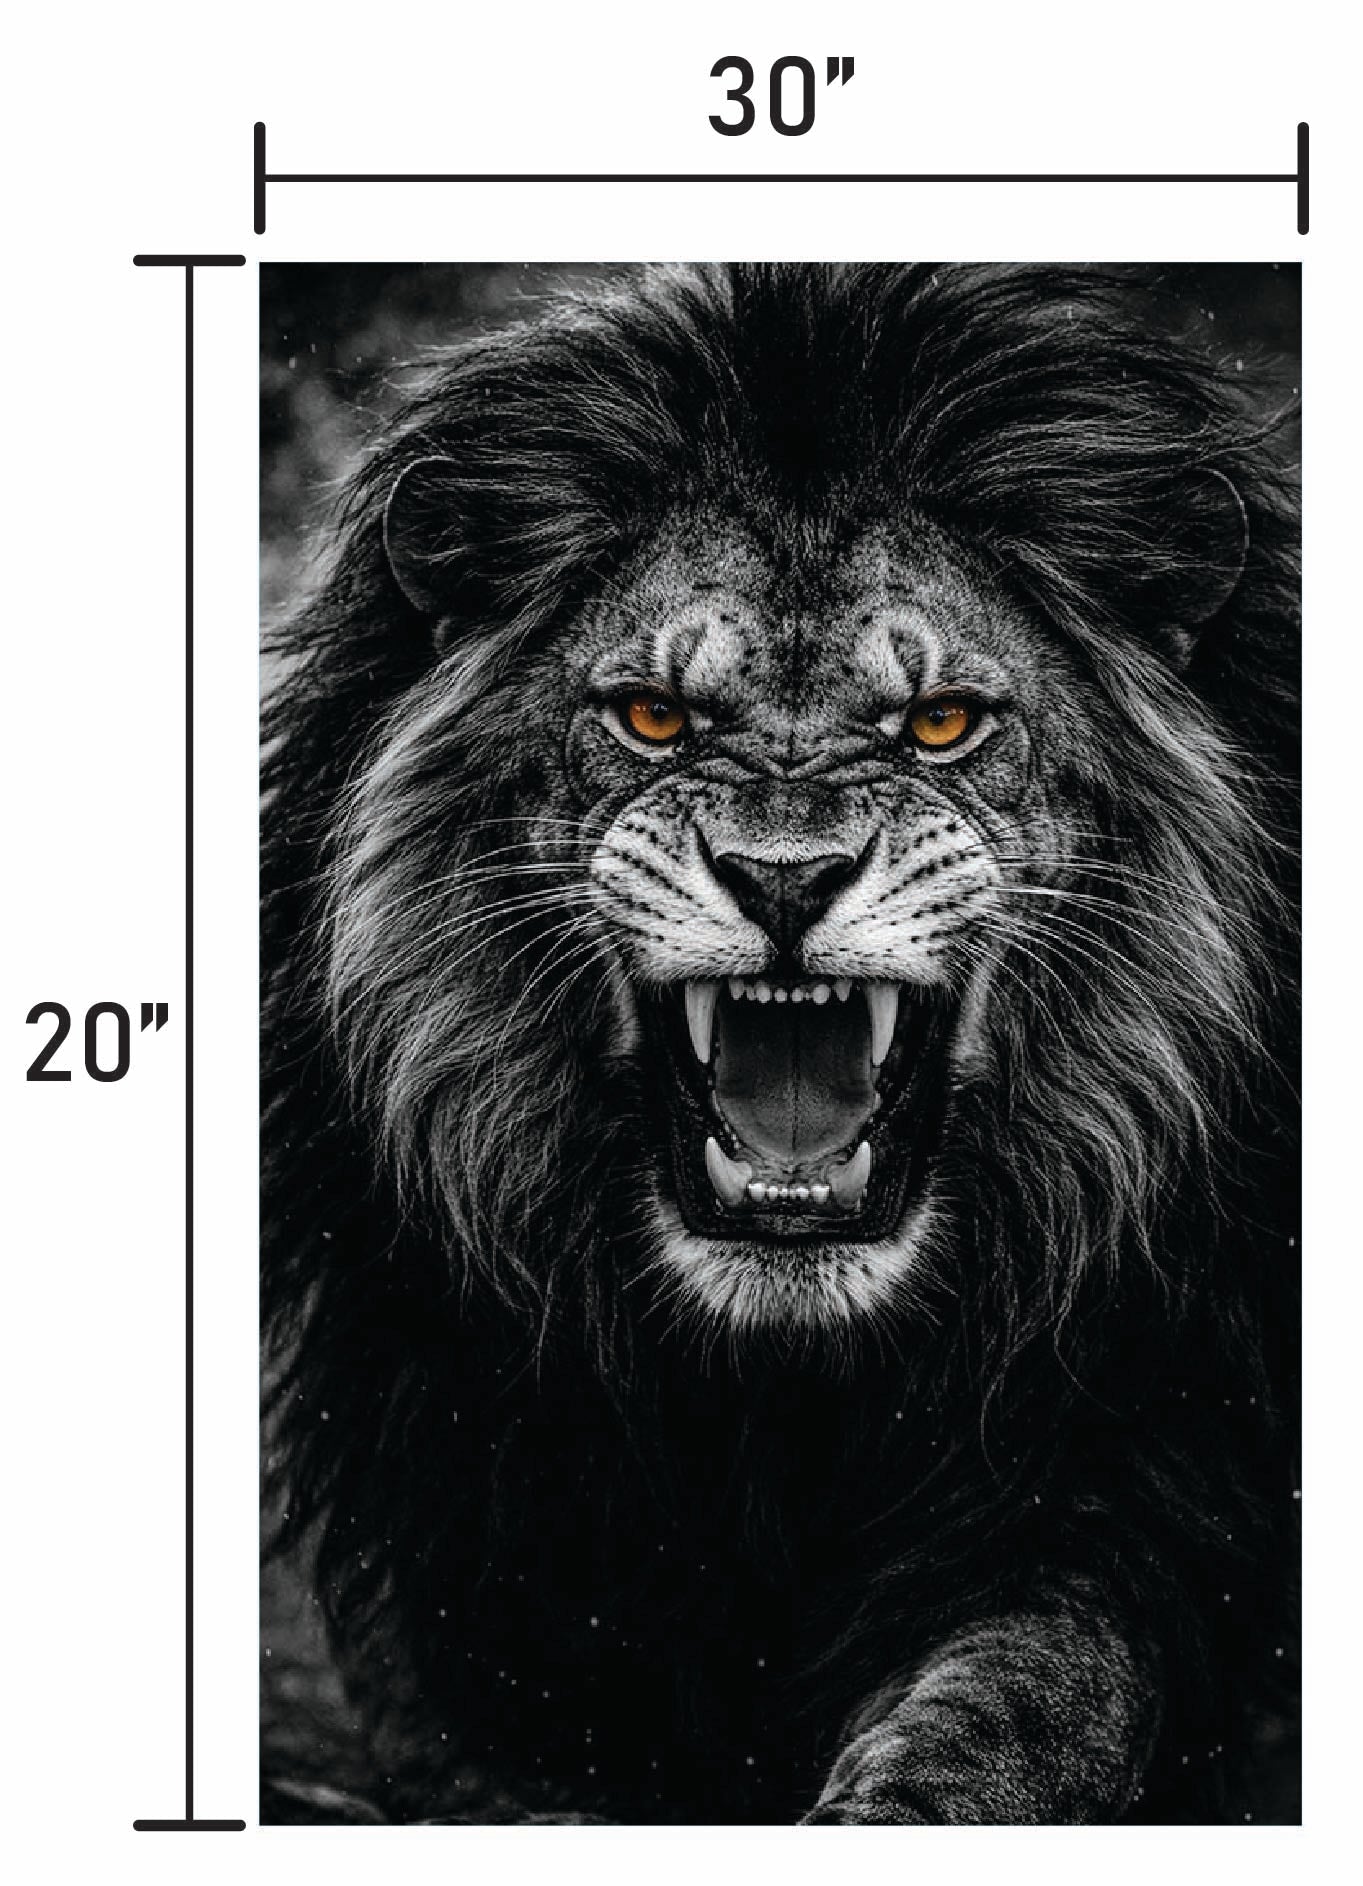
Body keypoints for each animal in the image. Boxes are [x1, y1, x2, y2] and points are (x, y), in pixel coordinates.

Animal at [262, 264, 1299, 1824]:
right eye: (652, 716)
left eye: (939, 723)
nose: (786, 879)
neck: (782, 1401)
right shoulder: (475, 1597)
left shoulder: (1134, 1491)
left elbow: (1028, 1697)